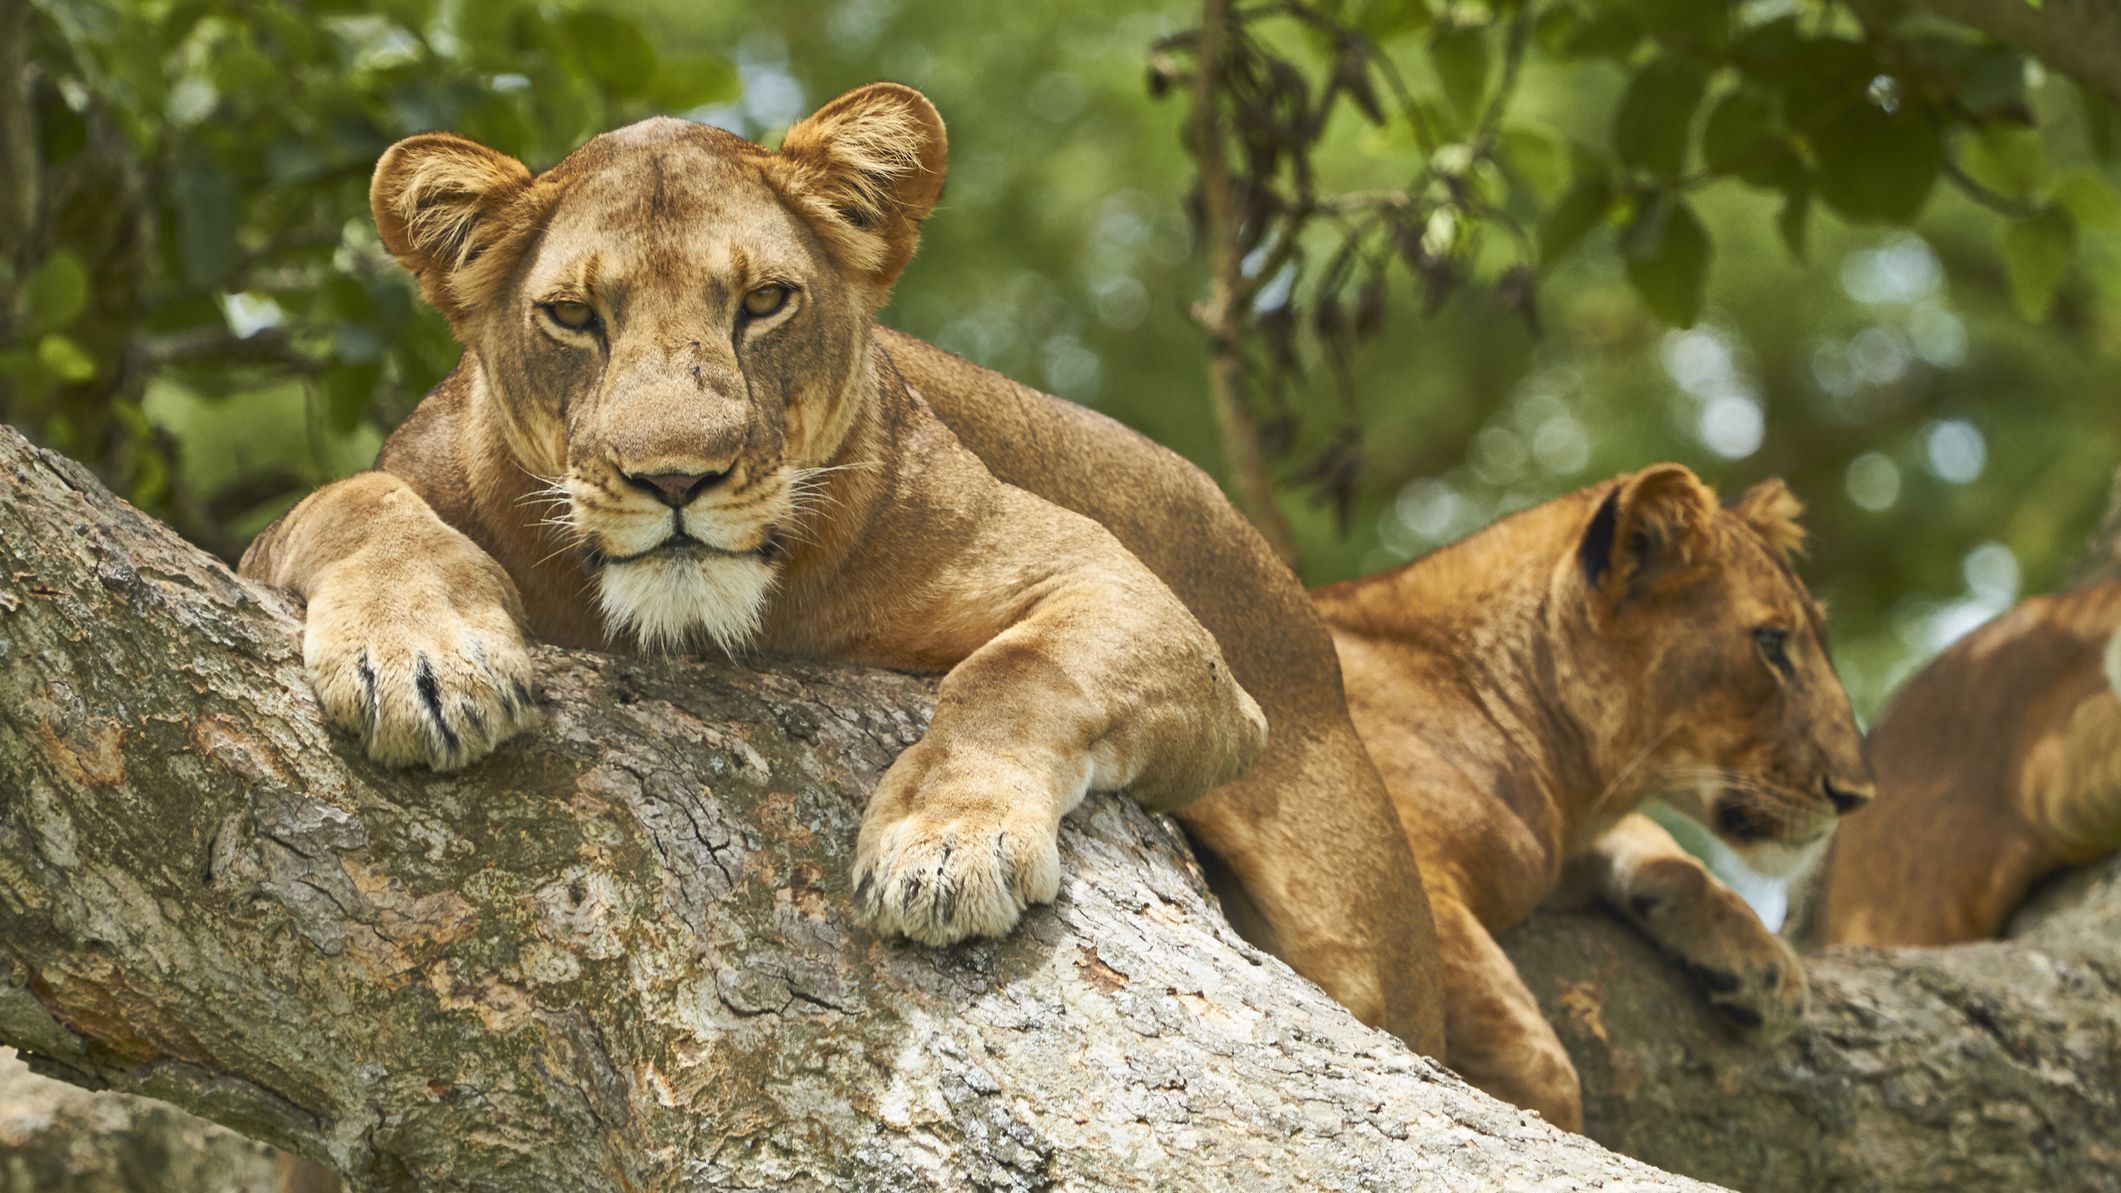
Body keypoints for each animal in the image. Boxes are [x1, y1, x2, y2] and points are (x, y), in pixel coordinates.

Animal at [240, 81, 1450, 1048]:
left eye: (764, 301)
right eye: (575, 316)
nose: (674, 478)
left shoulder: (1128, 596)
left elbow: (1016, 673)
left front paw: (946, 843)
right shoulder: (338, 510)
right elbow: (354, 504)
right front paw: (423, 659)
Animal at [1306, 464, 1874, 1120]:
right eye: (1773, 643)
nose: (1858, 794)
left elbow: (1658, 846)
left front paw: (1765, 969)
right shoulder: (1402, 863)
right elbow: (1537, 1063)